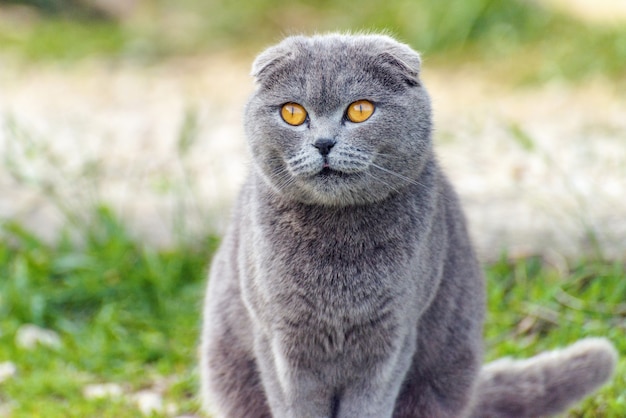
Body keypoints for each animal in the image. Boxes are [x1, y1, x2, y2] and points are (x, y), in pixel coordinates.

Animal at [199, 34, 616, 416]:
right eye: (292, 113)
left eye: (360, 110)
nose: (323, 143)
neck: (338, 254)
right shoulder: (278, 338)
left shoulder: (394, 337)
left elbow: (368, 406)